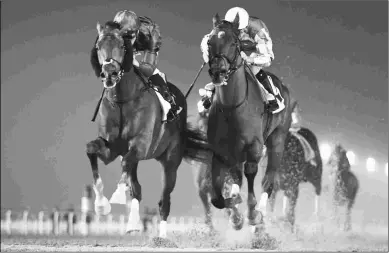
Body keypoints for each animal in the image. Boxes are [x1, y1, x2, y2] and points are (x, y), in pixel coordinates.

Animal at [85, 20, 206, 239]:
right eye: (98, 47)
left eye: (122, 46)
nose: (109, 74)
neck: (122, 100)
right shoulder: (111, 148)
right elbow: (91, 149)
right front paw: (101, 205)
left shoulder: (141, 145)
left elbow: (125, 163)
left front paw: (117, 195)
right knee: (137, 187)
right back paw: (133, 224)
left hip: (171, 161)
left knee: (164, 200)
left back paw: (162, 237)